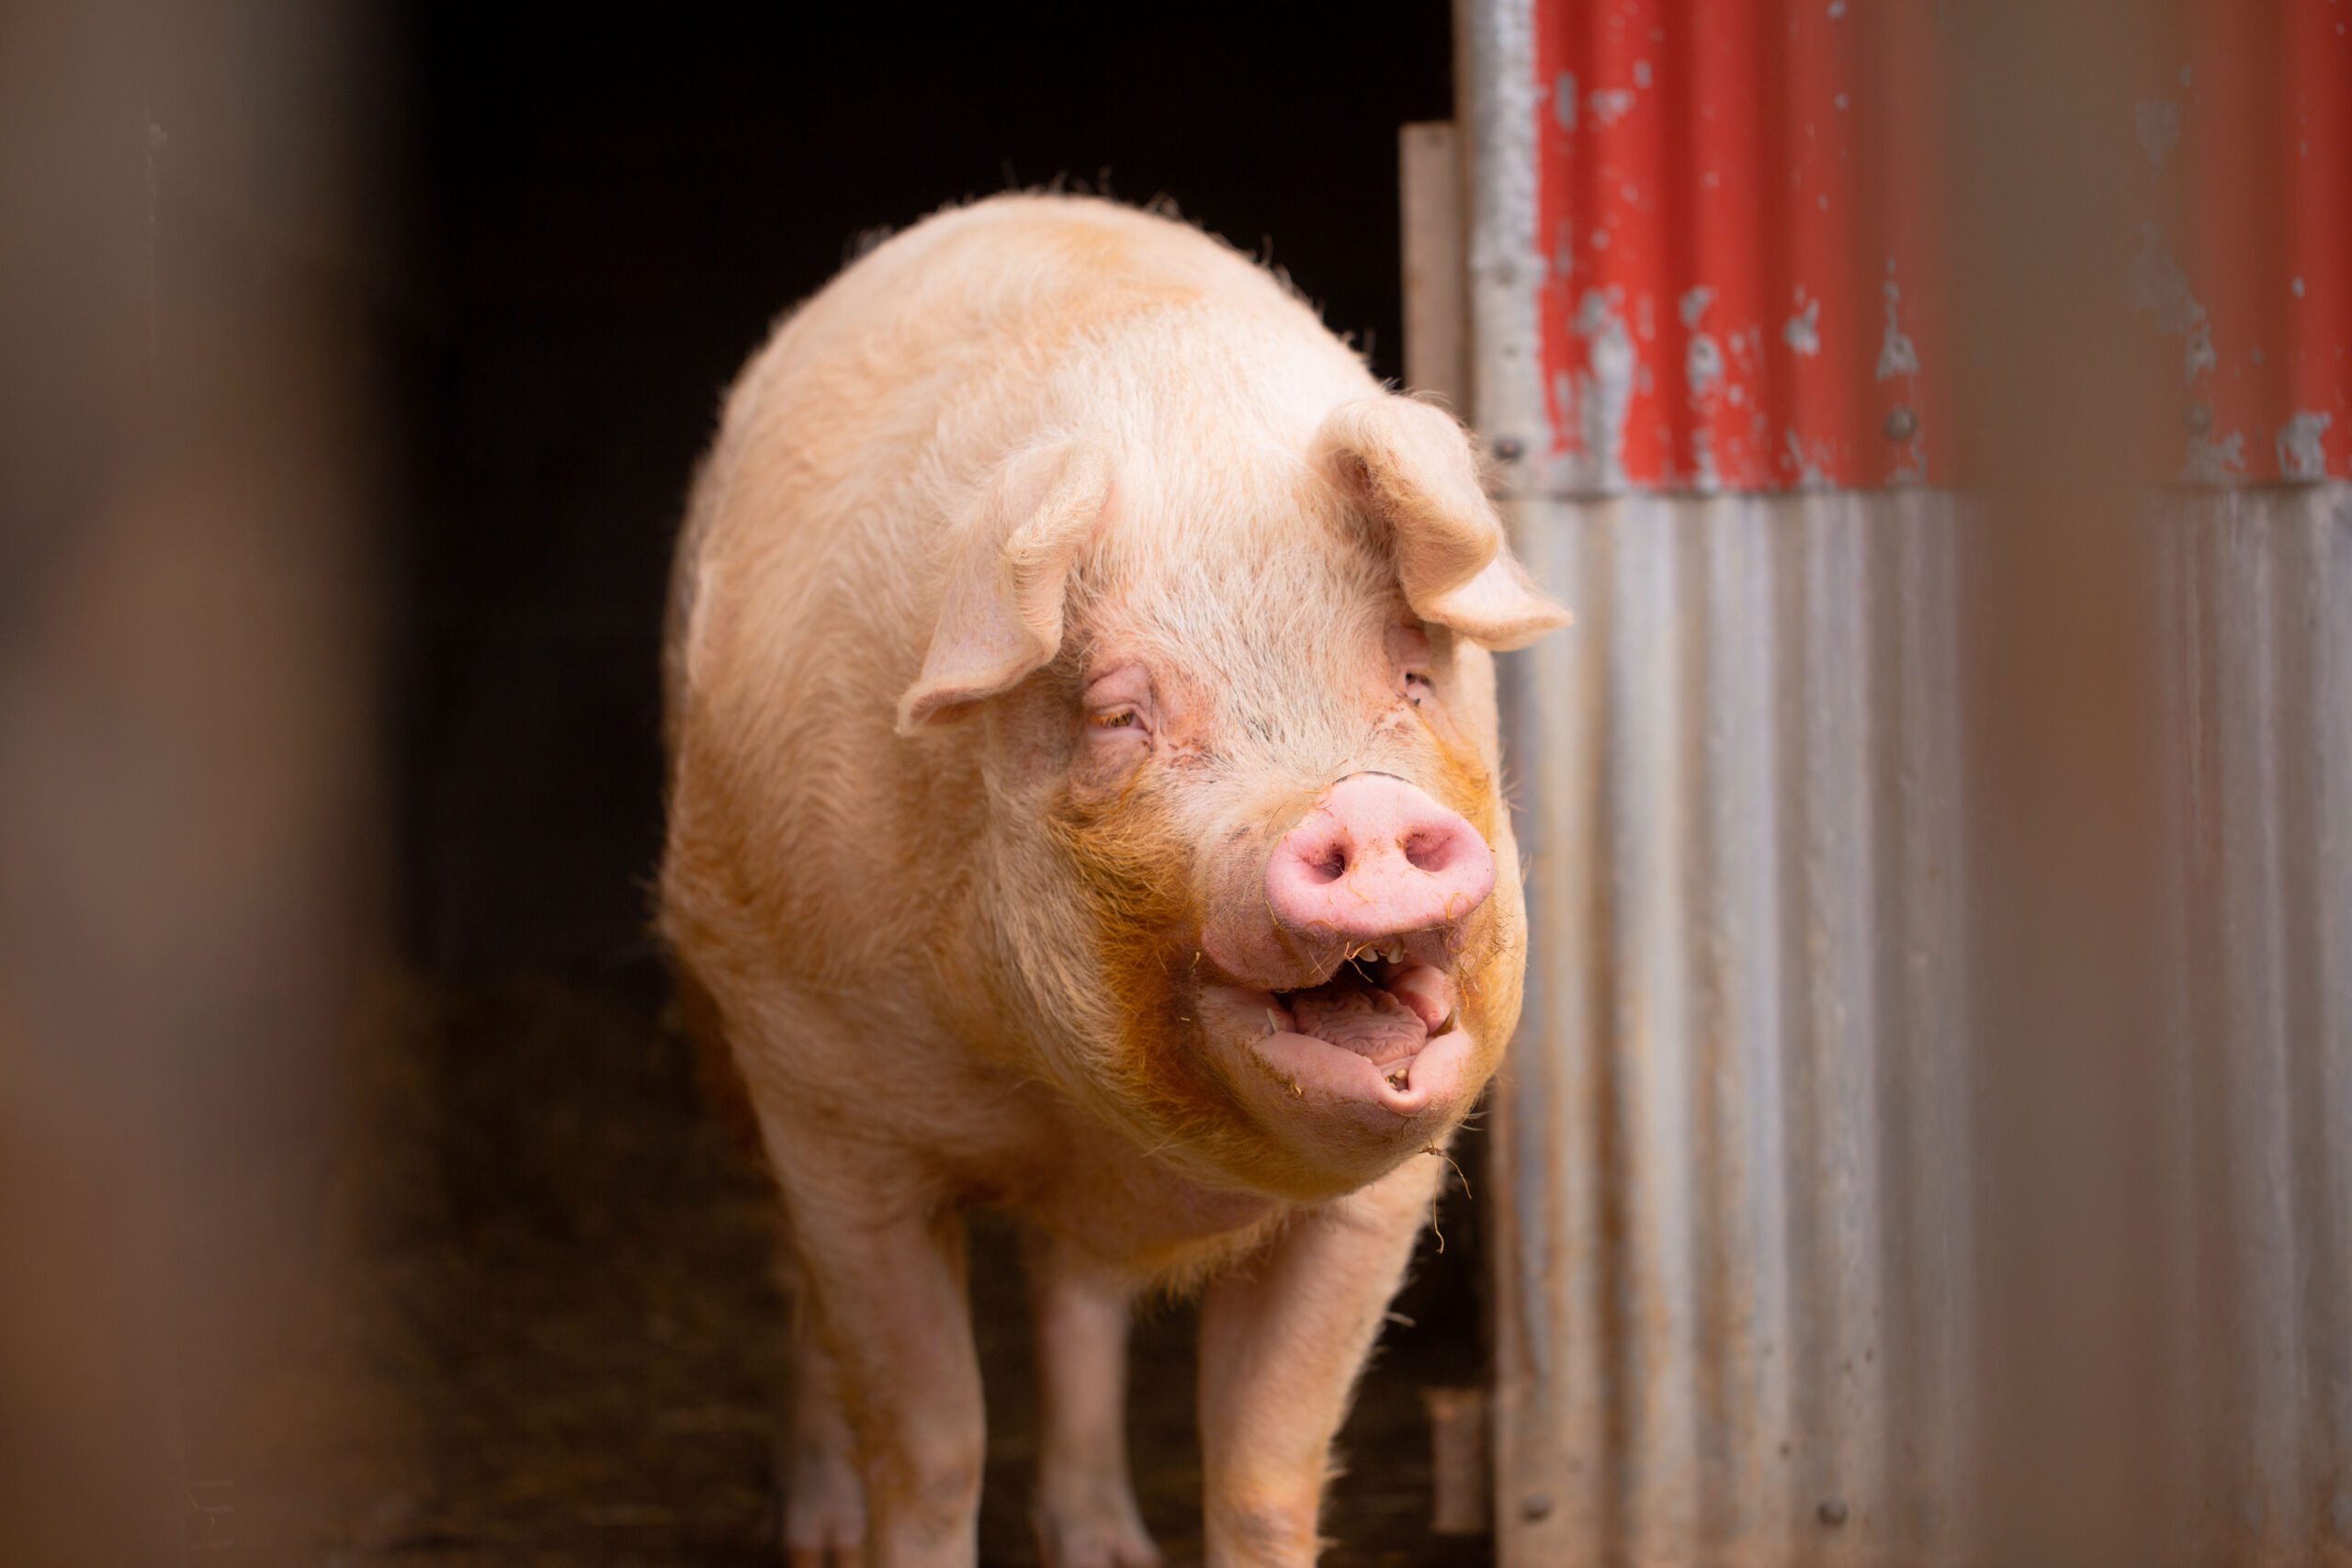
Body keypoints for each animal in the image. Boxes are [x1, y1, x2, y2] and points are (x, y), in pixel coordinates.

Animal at [658, 193, 1566, 1568]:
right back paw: (814, 1524)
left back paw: (1105, 1542)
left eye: (1412, 676)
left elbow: (1263, 1467)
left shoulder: (1382, 1196)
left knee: (1074, 1290)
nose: (1358, 804)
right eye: (1117, 714)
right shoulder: (829, 1105)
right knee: (804, 1283)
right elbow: (932, 1444)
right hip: (729, 1040)